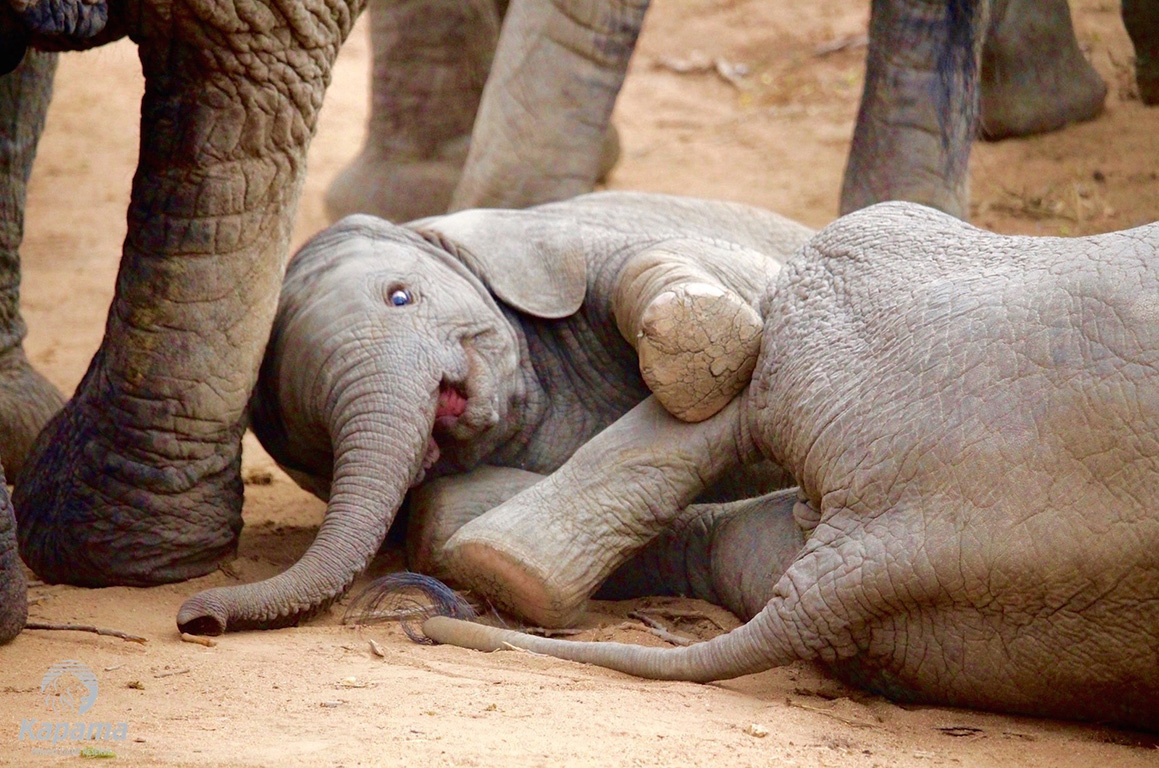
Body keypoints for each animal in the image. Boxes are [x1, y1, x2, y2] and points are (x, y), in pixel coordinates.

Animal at [174, 191, 811, 635]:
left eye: (400, 296)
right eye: (316, 439)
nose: (195, 621)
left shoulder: (564, 249)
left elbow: (676, 260)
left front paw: (700, 357)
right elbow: (439, 521)